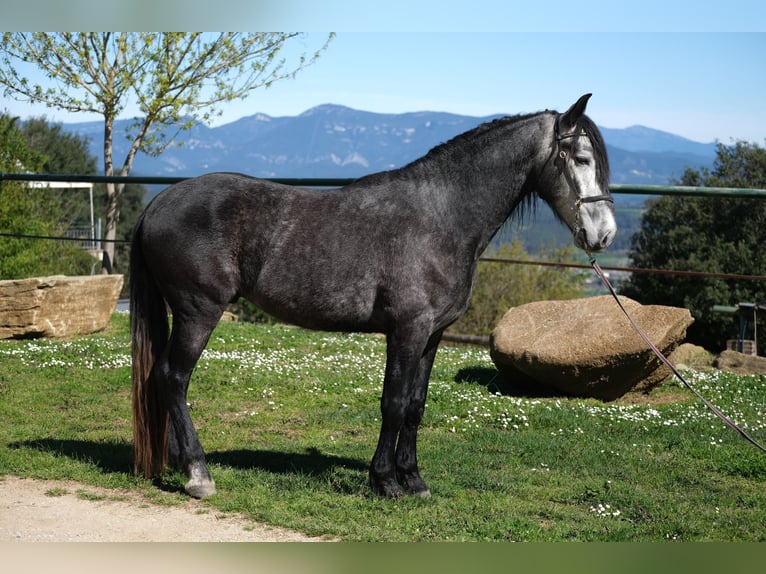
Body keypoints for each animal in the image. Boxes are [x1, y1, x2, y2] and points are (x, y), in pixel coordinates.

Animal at [130, 93, 616, 499]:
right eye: (582, 158)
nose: (604, 234)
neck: (441, 217)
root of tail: (158, 202)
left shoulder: (432, 335)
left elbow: (416, 406)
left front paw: (413, 479)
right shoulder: (407, 331)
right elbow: (393, 404)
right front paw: (385, 481)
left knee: (163, 379)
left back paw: (177, 463)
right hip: (198, 312)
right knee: (173, 378)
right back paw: (199, 474)